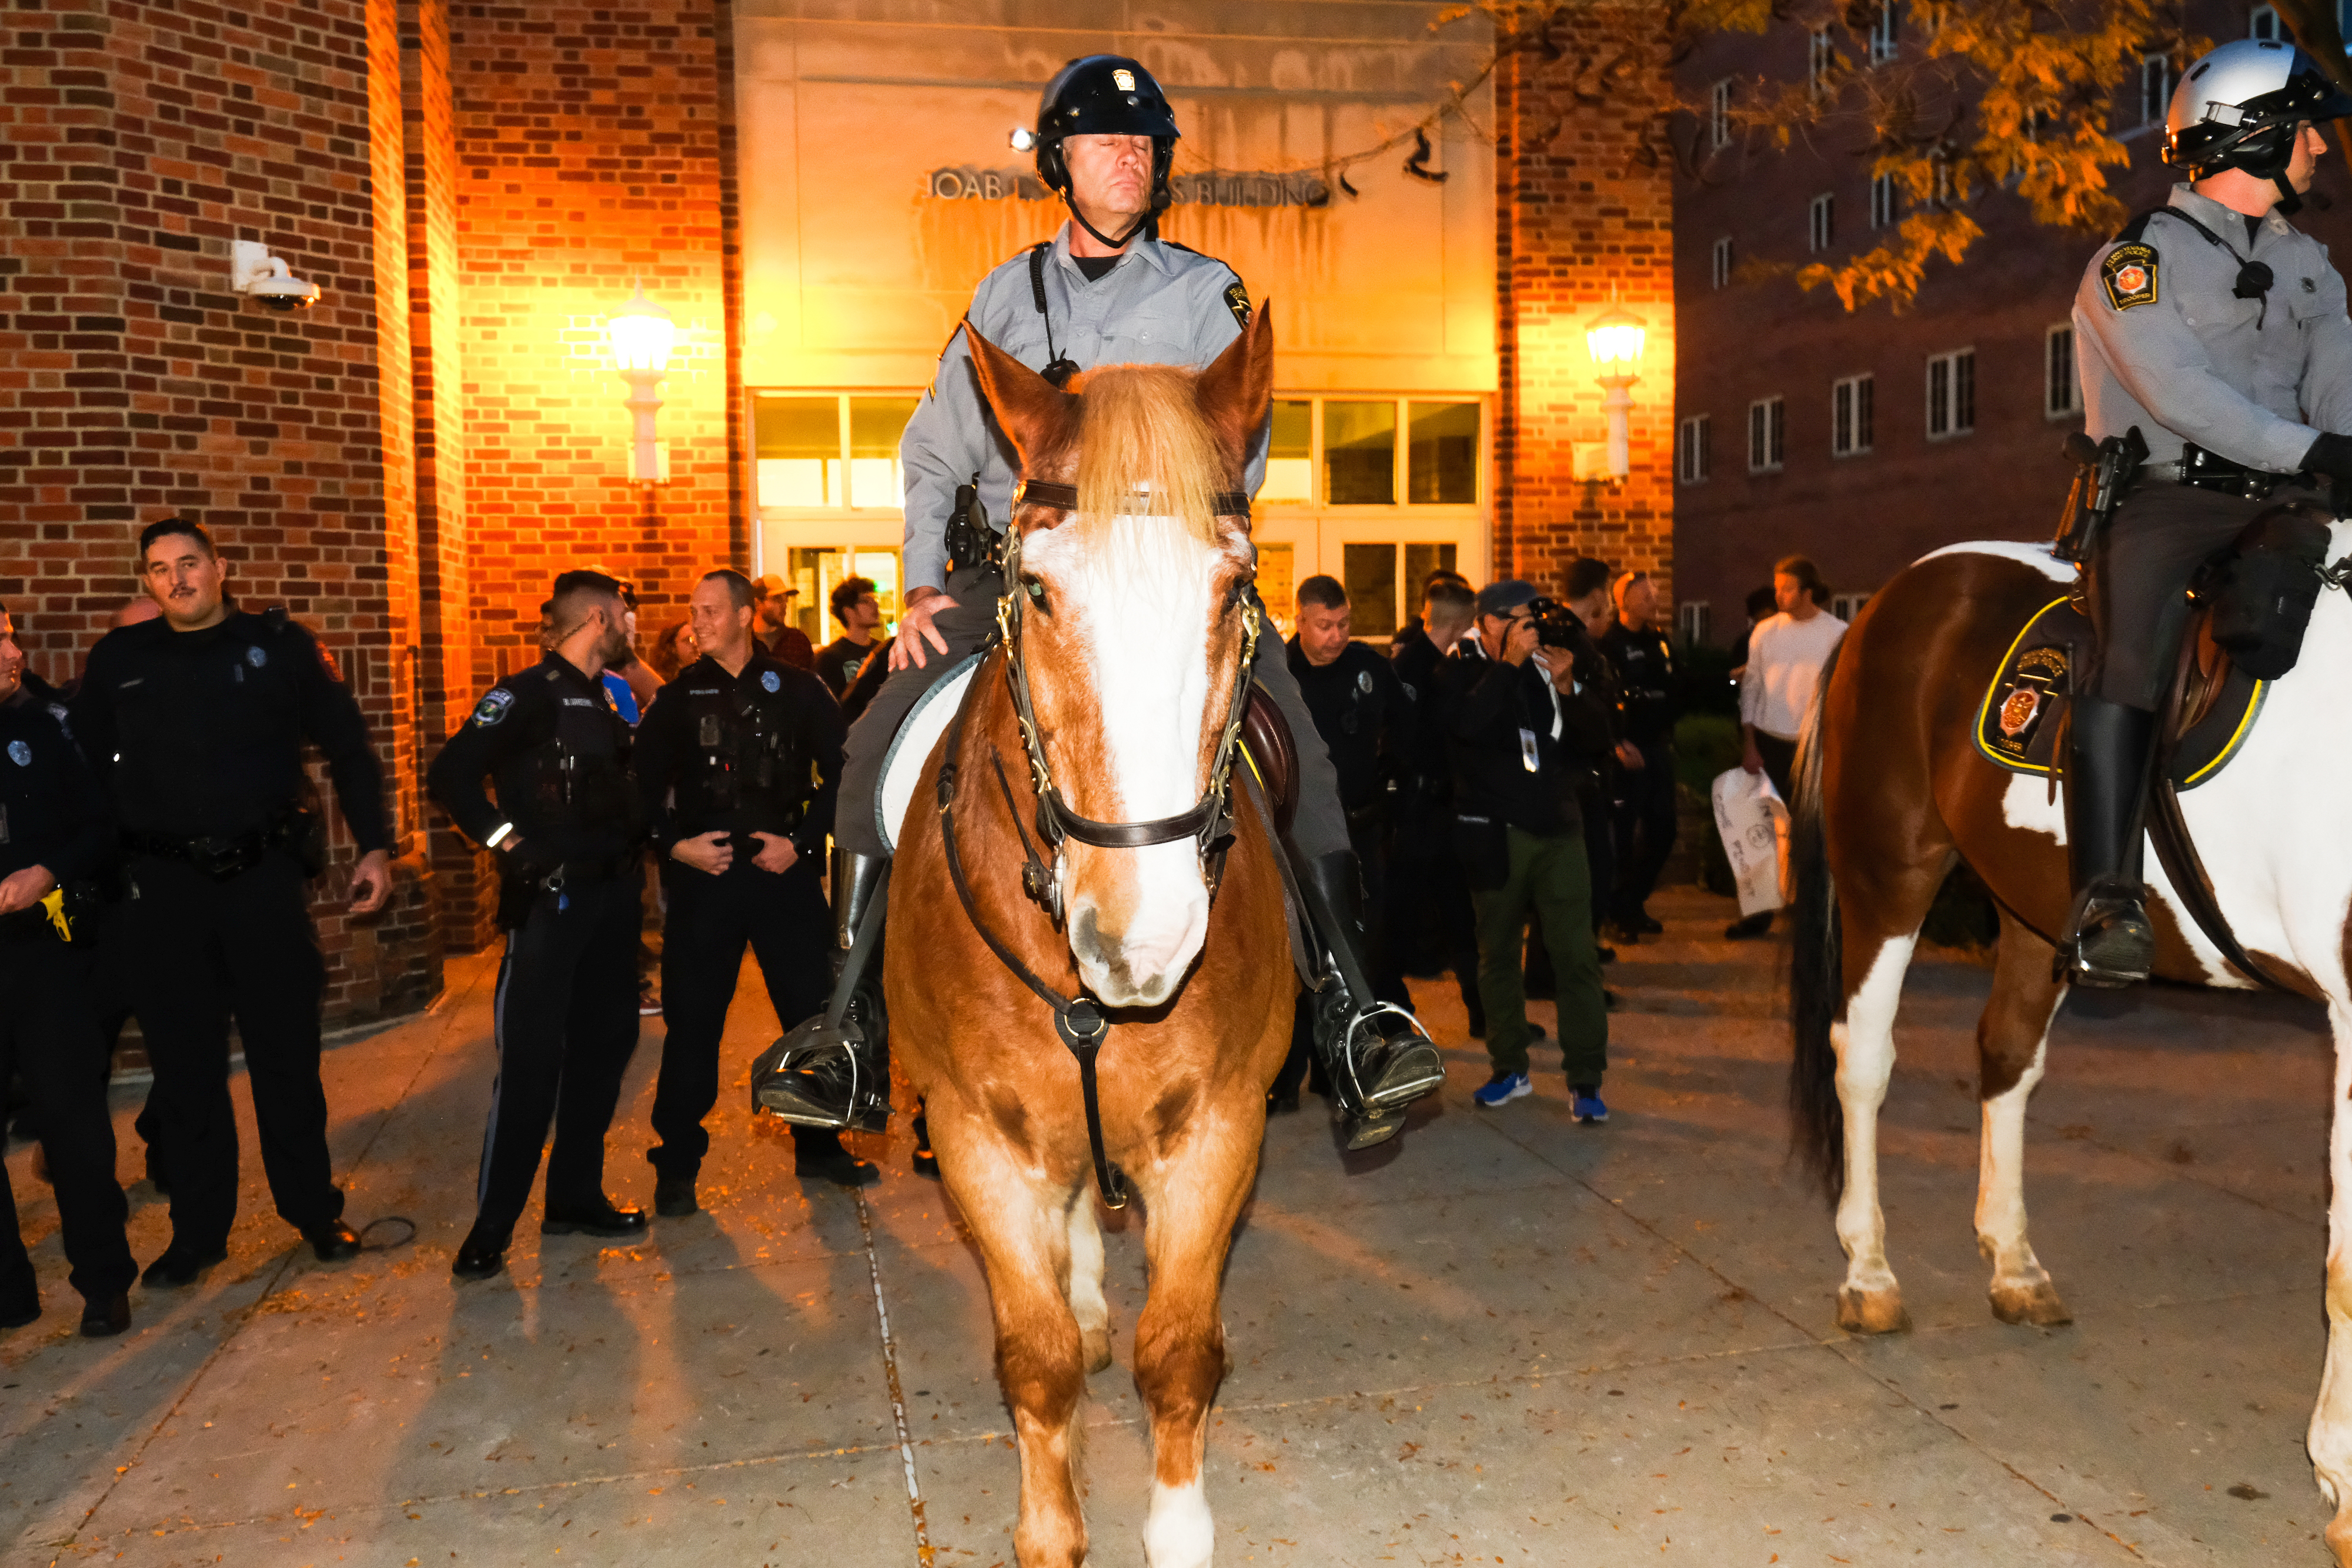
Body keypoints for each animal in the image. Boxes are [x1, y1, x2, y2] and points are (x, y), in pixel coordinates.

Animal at [884, 310, 1289, 1568]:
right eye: (1041, 589)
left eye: (1236, 586)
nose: (1135, 934)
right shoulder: (977, 1137)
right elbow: (1037, 1360)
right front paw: (1051, 1524)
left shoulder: (1218, 1130)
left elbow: (1180, 1352)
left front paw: (1178, 1523)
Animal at [1797, 536, 2352, 1561]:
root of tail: (1893, 595)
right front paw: (2343, 1486)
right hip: (1889, 870)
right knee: (1864, 1061)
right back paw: (1869, 1274)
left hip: (2034, 901)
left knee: (2007, 1052)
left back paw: (2014, 1264)